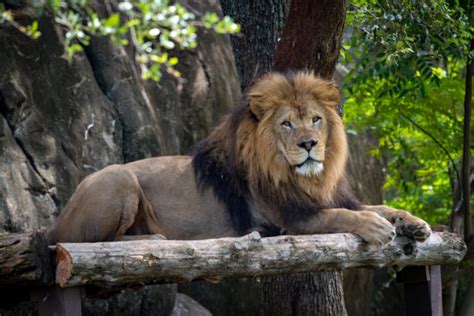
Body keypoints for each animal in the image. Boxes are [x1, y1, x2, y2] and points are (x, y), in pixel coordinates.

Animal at [46, 70, 432, 246]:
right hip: (117, 177)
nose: (309, 144)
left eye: (315, 119)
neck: (308, 178)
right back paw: (153, 240)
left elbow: (380, 205)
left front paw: (414, 223)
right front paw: (376, 227)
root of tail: (56, 221)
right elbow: (344, 216)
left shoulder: (331, 197)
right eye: (287, 124)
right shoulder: (292, 218)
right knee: (91, 241)